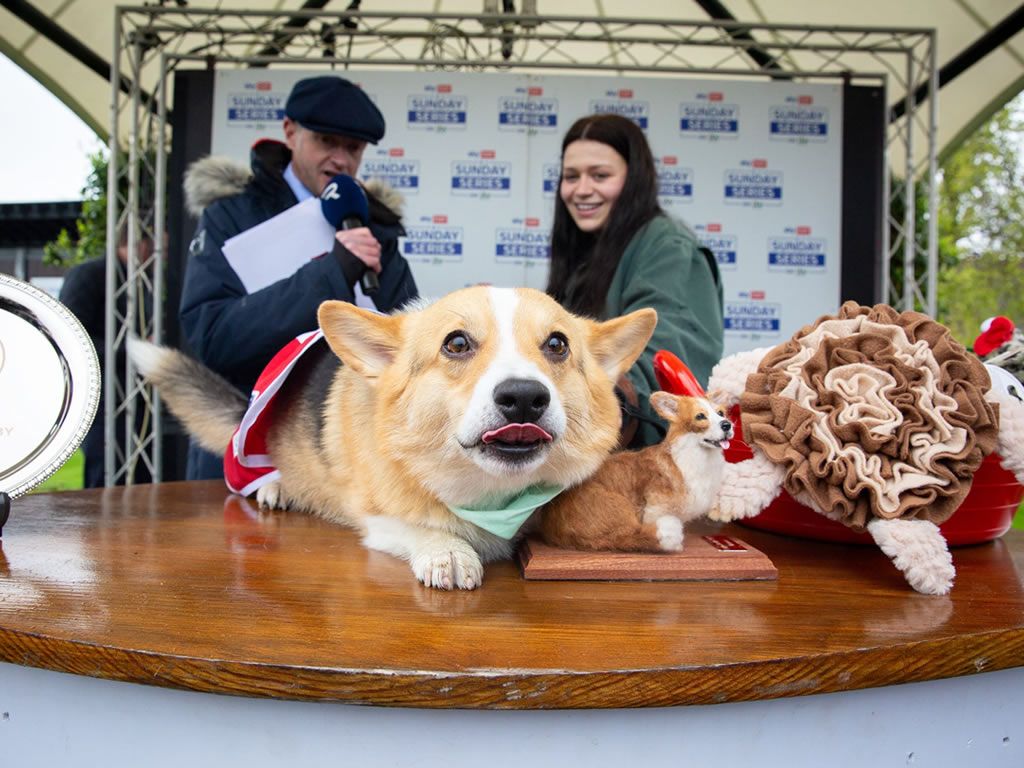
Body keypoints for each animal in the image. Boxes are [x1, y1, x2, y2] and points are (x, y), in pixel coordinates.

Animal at [130, 286, 655, 593]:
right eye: (456, 343)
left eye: (557, 344)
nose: (524, 398)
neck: (488, 497)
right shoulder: (375, 513)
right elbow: (418, 524)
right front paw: (447, 550)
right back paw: (275, 487)